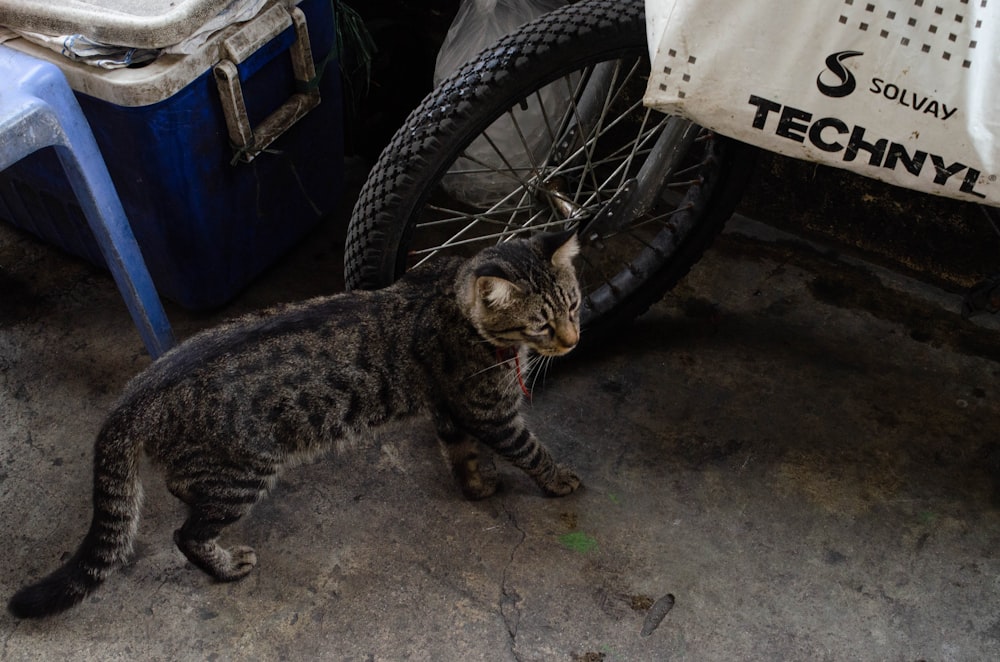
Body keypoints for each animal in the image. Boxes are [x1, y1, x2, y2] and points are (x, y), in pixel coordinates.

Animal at [7, 231, 584, 620]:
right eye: (541, 324)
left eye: (575, 304)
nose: (575, 339)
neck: (454, 298)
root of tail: (134, 395)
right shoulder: (491, 412)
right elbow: (532, 450)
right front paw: (560, 480)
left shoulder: (451, 409)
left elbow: (460, 454)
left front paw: (477, 486)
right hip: (241, 473)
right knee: (186, 532)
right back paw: (224, 565)